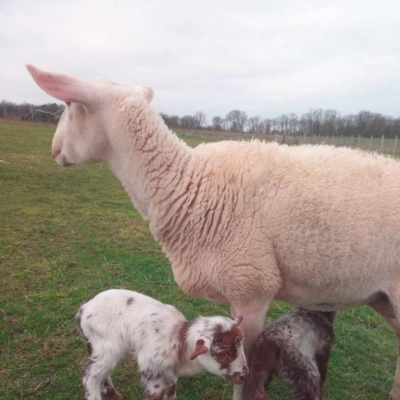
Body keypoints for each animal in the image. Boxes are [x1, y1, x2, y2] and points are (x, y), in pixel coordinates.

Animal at [76, 290, 248, 398]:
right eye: (222, 354)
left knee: (101, 374)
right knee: (89, 374)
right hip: (107, 346)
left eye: (241, 346)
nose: (244, 375)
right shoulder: (153, 376)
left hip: (95, 345)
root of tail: (83, 310)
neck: (178, 340)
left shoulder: (170, 377)